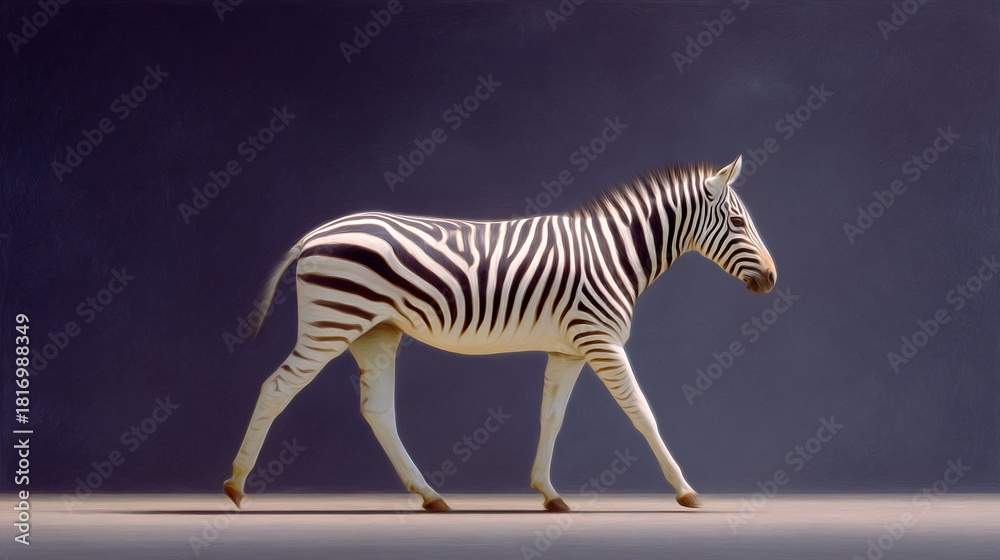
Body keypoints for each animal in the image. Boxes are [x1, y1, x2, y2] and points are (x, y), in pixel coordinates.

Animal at [224, 155, 776, 512]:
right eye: (737, 221)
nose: (772, 279)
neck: (614, 256)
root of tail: (313, 234)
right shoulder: (601, 340)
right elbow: (642, 413)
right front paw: (685, 490)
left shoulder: (569, 348)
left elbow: (551, 416)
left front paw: (548, 492)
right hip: (334, 322)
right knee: (276, 388)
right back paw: (235, 486)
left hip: (376, 333)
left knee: (376, 410)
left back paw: (430, 496)